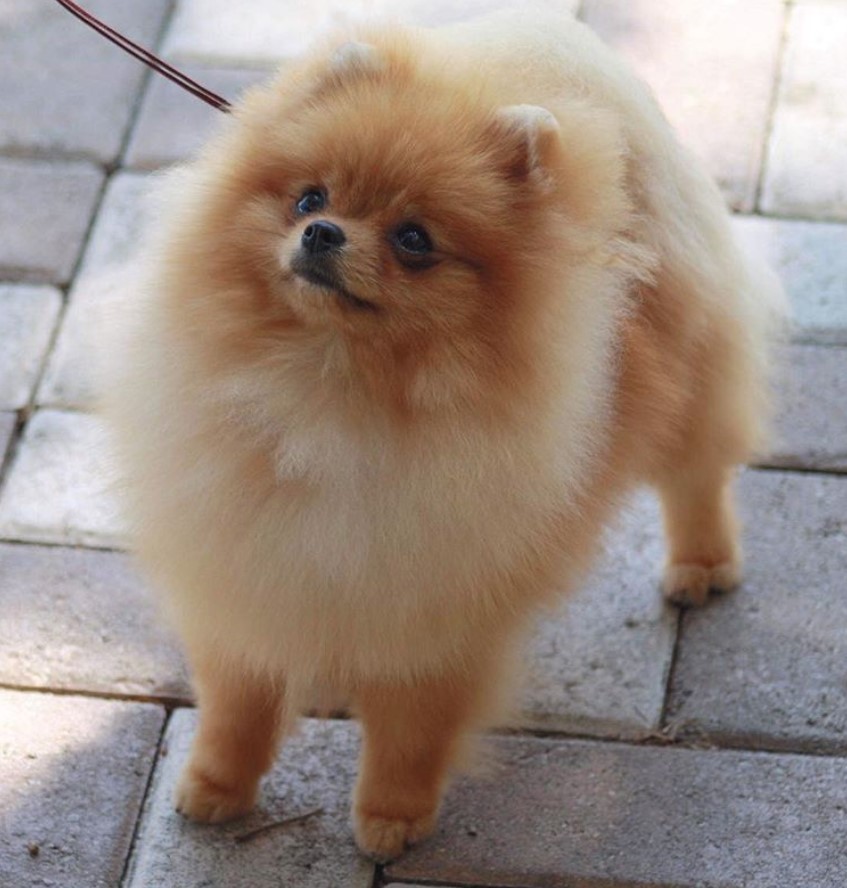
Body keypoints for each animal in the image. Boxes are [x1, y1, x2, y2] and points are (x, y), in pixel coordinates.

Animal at [109, 8, 784, 860]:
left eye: (414, 240)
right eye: (308, 197)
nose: (323, 233)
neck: (325, 391)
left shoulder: (438, 597)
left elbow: (410, 725)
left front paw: (391, 816)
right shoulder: (243, 562)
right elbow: (239, 699)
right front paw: (215, 786)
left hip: (691, 377)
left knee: (695, 475)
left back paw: (700, 563)